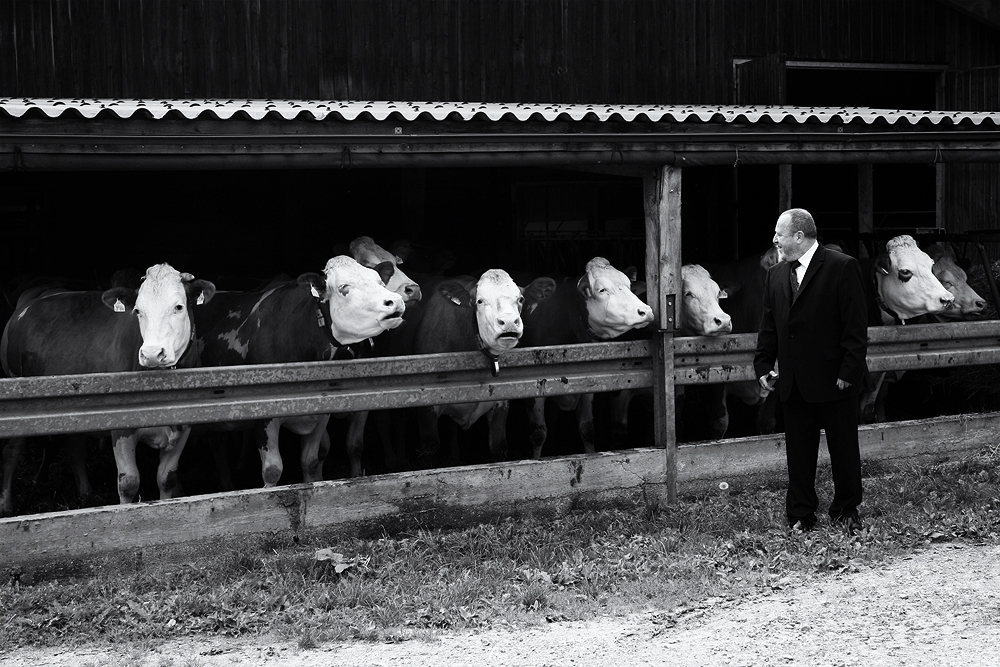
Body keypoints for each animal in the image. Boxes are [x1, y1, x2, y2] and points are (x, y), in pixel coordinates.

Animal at [0, 264, 215, 516]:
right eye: (137, 311)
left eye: (178, 307)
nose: (152, 354)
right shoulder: (120, 424)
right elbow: (129, 482)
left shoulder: (185, 423)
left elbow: (166, 479)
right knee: (12, 451)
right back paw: (6, 505)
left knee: (75, 447)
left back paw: (85, 492)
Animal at [196, 253, 406, 488]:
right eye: (344, 287)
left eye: (380, 282)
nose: (395, 301)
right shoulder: (263, 413)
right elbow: (272, 470)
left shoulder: (323, 412)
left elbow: (313, 460)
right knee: (216, 443)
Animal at [516, 258, 656, 462]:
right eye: (602, 290)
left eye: (629, 286)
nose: (645, 311)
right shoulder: (531, 388)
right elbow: (538, 433)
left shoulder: (589, 383)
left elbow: (587, 429)